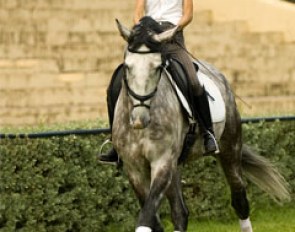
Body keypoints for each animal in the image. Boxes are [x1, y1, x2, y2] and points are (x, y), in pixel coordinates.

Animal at [111, 18, 292, 232]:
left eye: (158, 67)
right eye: (127, 66)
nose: (139, 119)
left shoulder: (162, 162)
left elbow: (147, 216)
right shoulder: (134, 168)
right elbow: (153, 217)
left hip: (230, 148)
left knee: (239, 198)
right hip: (177, 164)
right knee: (180, 212)